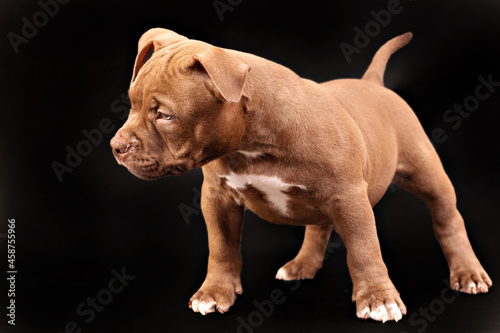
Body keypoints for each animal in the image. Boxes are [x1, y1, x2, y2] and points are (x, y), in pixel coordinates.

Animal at [110, 28, 492, 322]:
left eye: (165, 115)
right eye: (131, 103)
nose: (116, 145)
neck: (252, 140)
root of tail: (372, 83)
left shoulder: (350, 197)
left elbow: (364, 249)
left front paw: (378, 299)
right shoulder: (218, 197)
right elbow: (220, 247)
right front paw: (214, 293)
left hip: (427, 173)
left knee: (447, 218)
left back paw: (468, 273)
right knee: (319, 225)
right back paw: (302, 264)